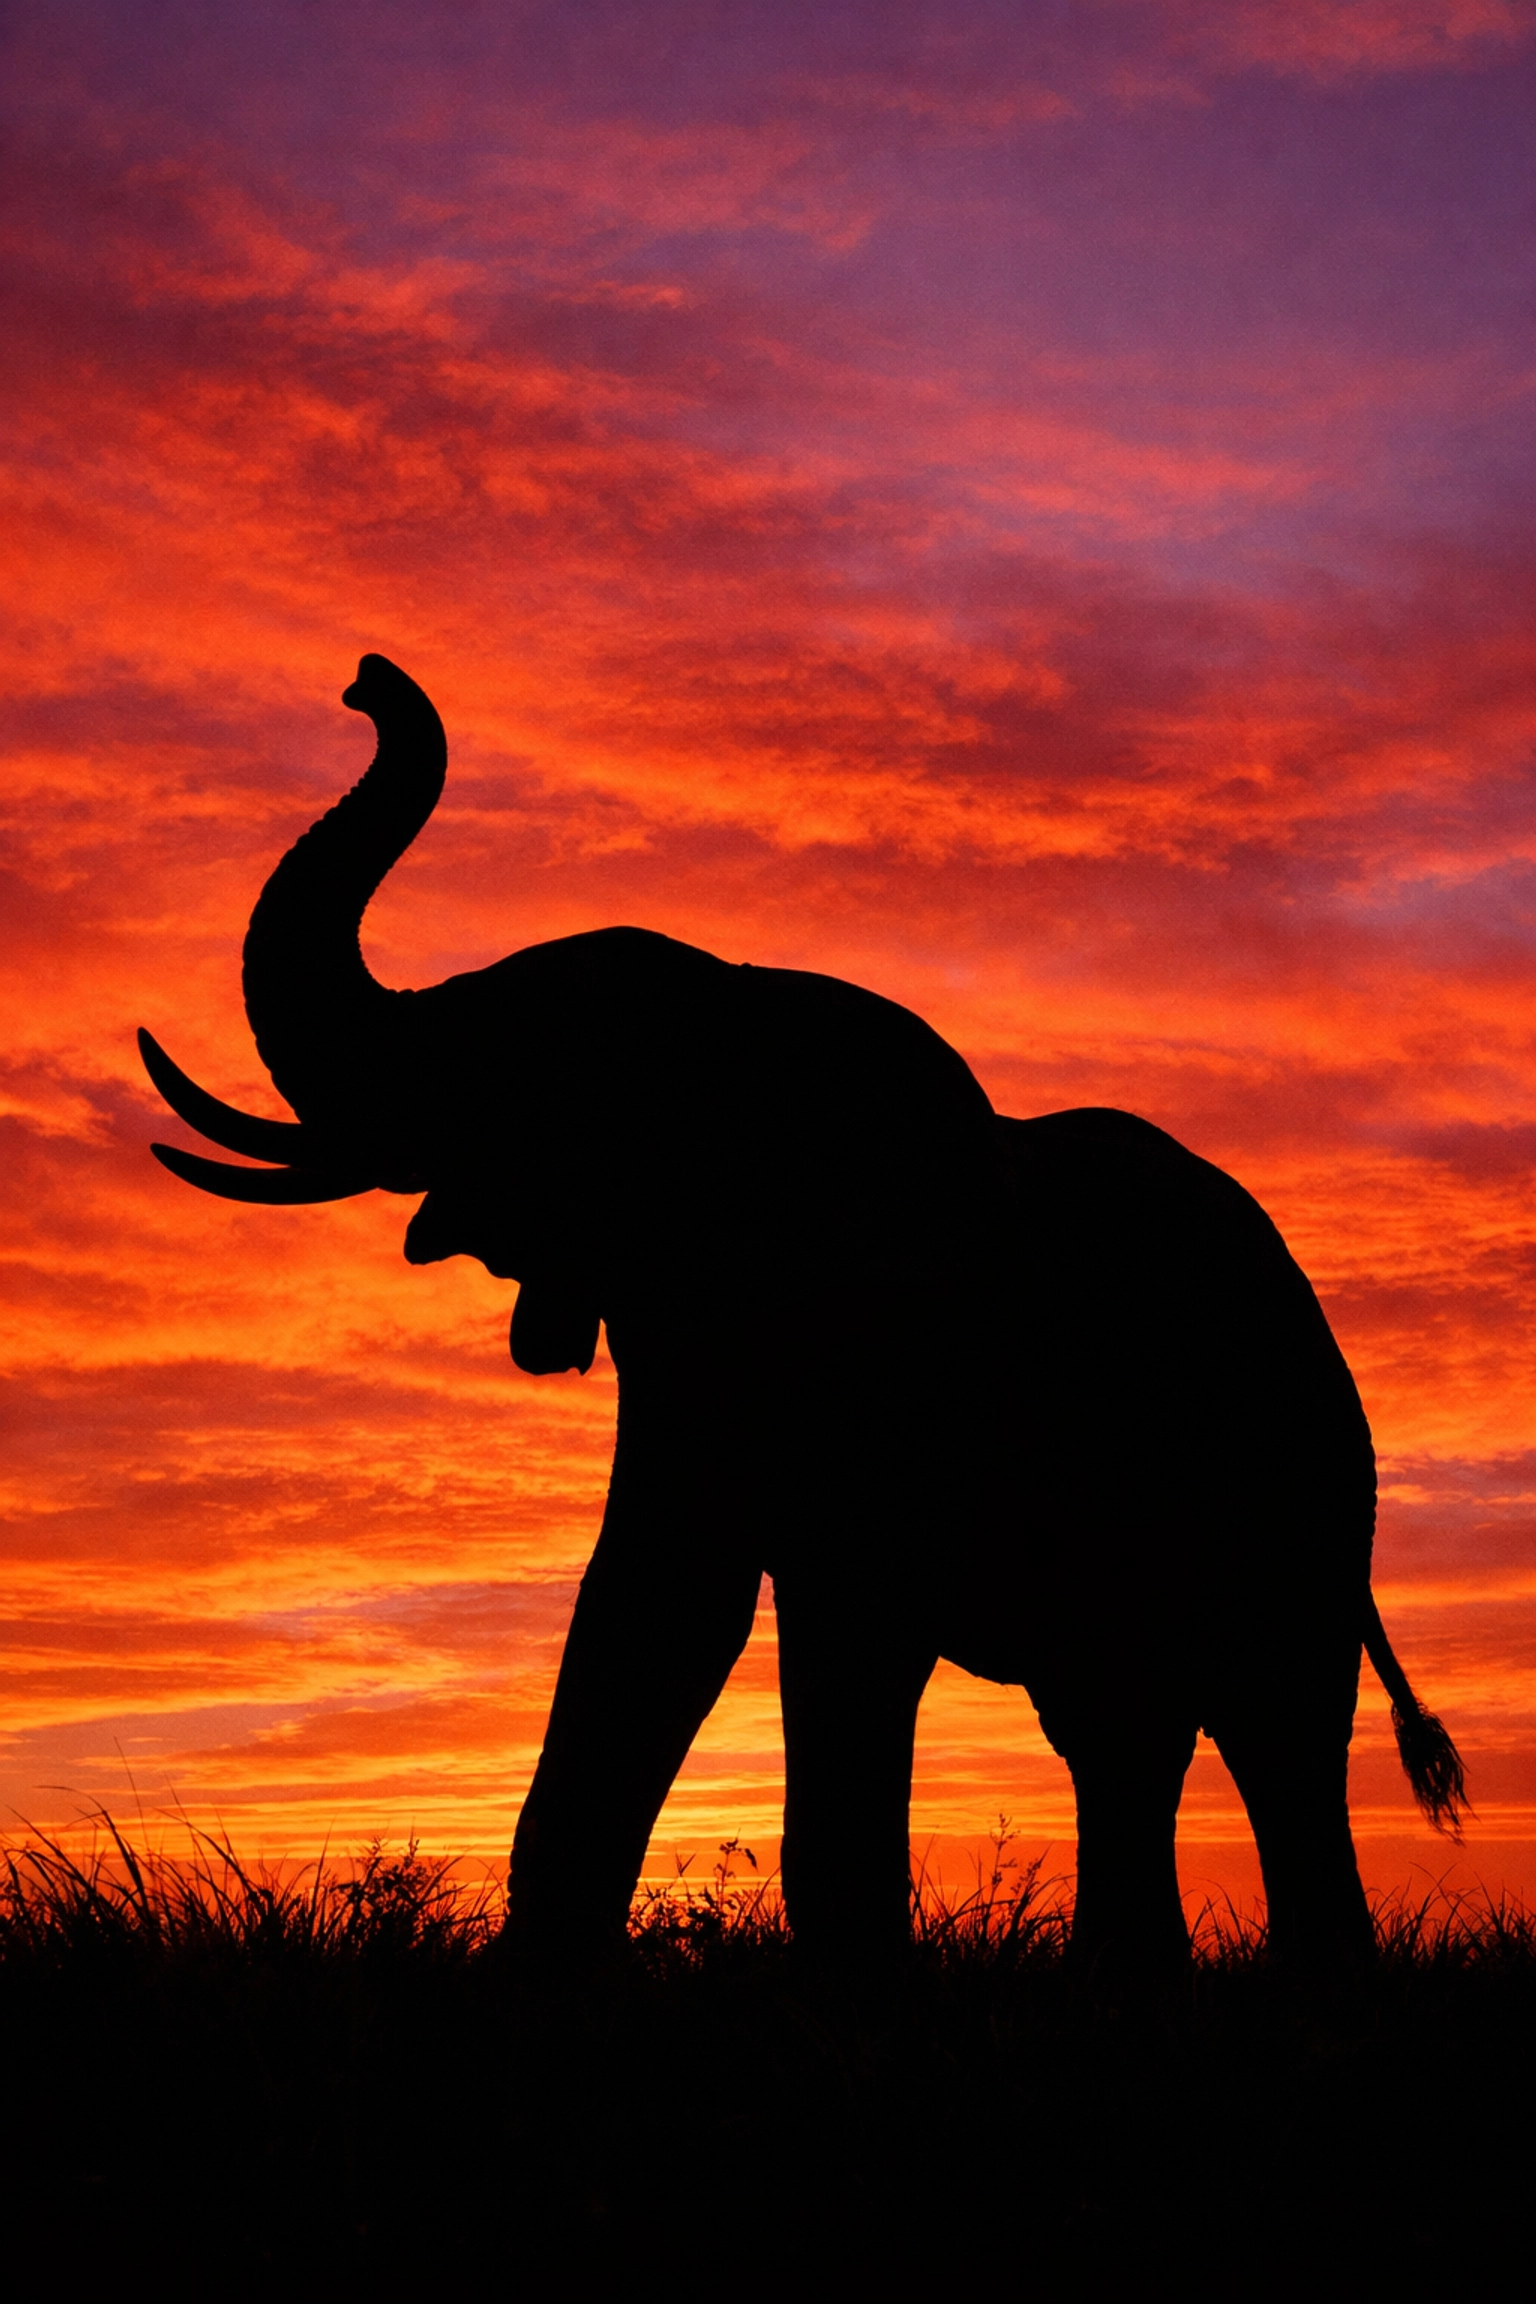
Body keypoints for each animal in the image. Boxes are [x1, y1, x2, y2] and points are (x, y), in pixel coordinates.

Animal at [141, 653, 1465, 1980]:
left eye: (525, 1056)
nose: (362, 683)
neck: (737, 1010)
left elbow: (843, 1612)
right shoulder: (685, 1330)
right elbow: (659, 1592)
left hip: (1307, 1482)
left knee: (1275, 1724)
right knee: (1121, 1727)